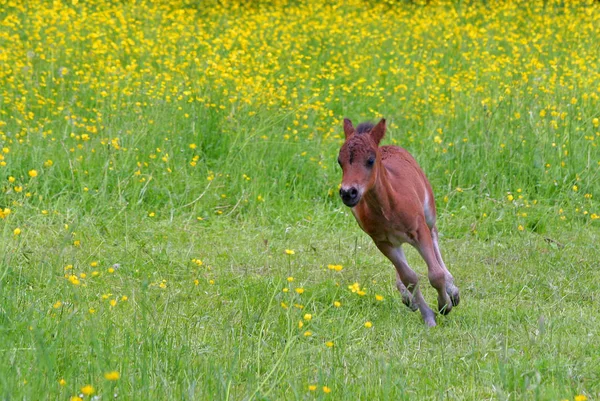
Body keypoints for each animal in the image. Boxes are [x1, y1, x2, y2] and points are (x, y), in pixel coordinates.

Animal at [338, 118, 460, 324]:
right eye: (340, 161)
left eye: (370, 160)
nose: (348, 193)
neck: (388, 207)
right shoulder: (382, 241)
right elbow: (409, 277)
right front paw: (428, 316)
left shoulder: (419, 230)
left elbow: (435, 274)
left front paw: (445, 304)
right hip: (395, 240)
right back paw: (408, 298)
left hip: (428, 213)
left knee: (434, 236)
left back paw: (451, 287)